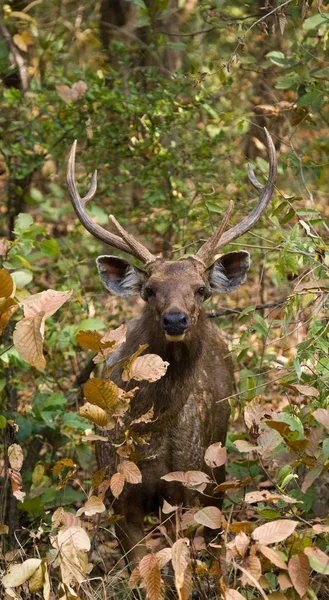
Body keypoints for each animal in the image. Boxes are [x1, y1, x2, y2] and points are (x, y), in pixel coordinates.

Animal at [67, 130, 276, 568]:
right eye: (149, 290)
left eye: (200, 289)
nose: (176, 319)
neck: (153, 433)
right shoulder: (117, 494)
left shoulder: (188, 485)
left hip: (216, 465)